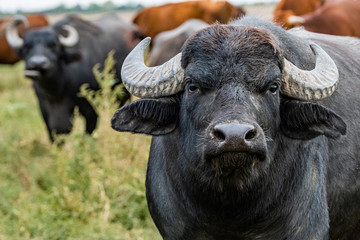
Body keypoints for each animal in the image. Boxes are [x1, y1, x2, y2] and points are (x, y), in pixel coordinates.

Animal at [6, 14, 142, 141]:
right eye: (26, 47)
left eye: (53, 45)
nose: (37, 63)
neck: (57, 90)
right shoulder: (44, 109)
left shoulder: (90, 110)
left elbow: (88, 134)